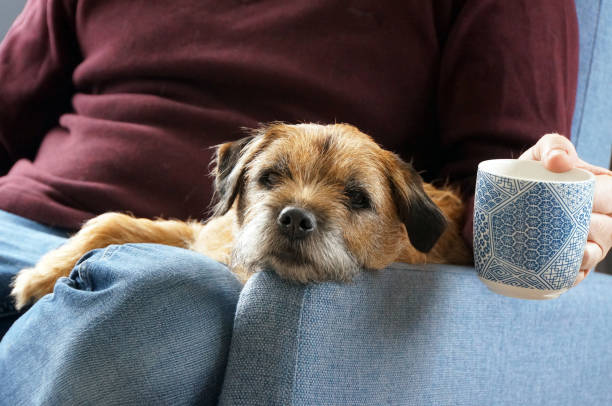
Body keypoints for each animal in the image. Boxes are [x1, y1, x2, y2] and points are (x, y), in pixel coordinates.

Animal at [11, 122, 474, 310]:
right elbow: (108, 221)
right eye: (270, 176)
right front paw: (41, 275)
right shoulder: (200, 236)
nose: (295, 219)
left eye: (358, 198)